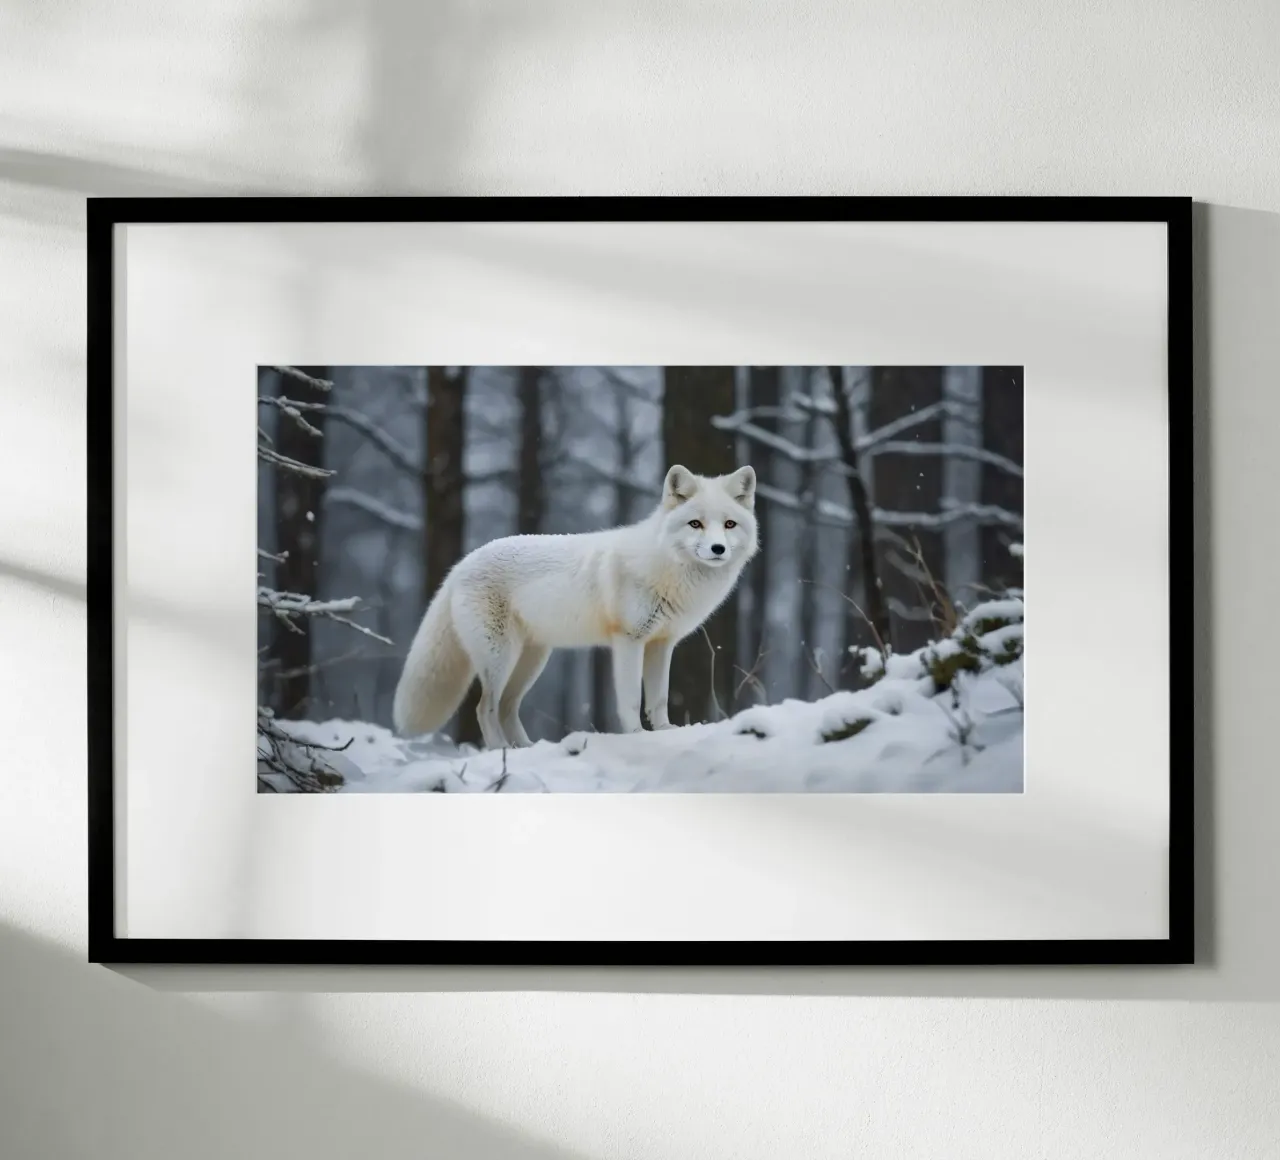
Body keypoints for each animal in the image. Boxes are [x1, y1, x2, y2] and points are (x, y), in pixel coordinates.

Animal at [393, 463, 759, 749]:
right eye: (695, 524)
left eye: (729, 524)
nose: (717, 549)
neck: (665, 568)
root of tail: (461, 564)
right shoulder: (629, 641)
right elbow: (631, 700)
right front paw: (637, 736)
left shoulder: (661, 644)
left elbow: (658, 699)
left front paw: (666, 732)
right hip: (501, 657)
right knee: (485, 709)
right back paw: (502, 751)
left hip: (532, 660)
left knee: (508, 707)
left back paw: (527, 748)